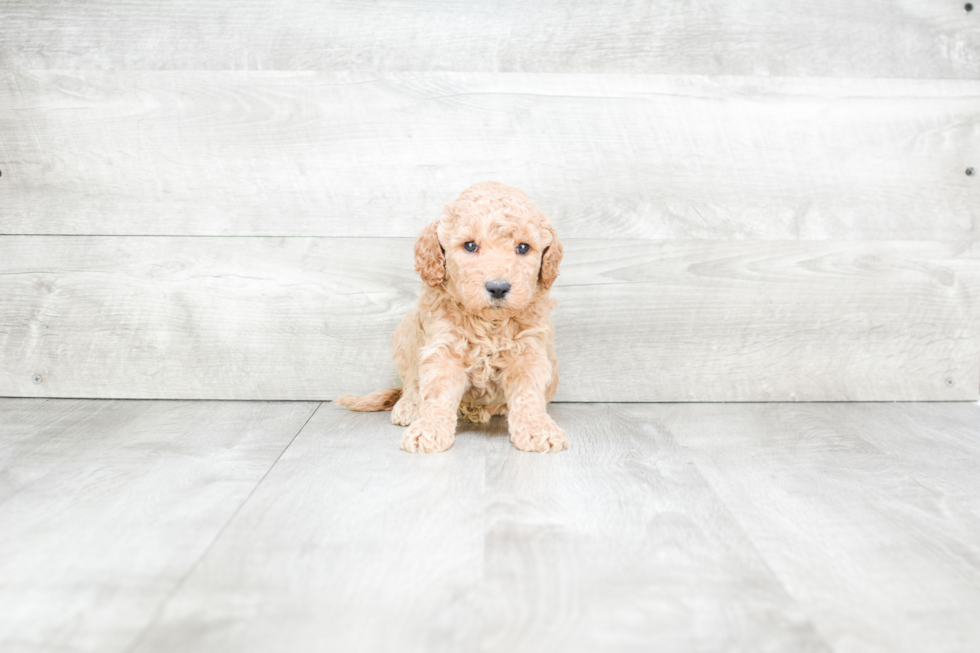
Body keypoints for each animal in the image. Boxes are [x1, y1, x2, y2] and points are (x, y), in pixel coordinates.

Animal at [336, 181, 568, 450]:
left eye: (523, 248)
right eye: (470, 245)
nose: (498, 287)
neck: (489, 323)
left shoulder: (527, 352)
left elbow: (528, 395)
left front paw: (538, 429)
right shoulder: (443, 347)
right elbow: (437, 393)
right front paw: (429, 429)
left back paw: (478, 411)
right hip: (404, 336)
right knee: (411, 382)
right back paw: (410, 405)